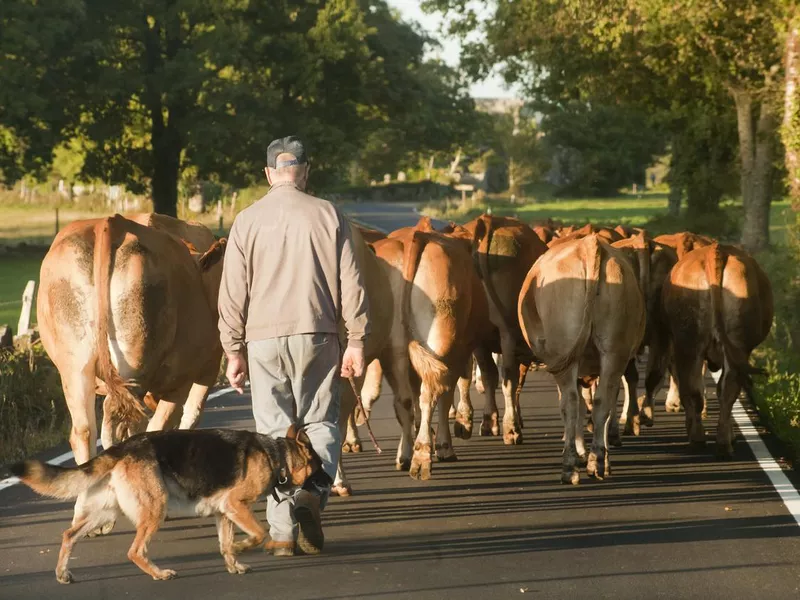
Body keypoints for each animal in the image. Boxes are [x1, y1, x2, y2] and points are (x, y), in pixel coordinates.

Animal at [10, 424, 318, 584]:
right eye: (320, 466)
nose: (326, 481)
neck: (276, 455)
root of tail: (121, 447)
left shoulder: (224, 513)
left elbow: (225, 544)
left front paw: (234, 563)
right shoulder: (235, 505)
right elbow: (259, 533)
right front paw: (241, 548)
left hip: (102, 513)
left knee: (69, 535)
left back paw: (62, 573)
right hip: (156, 509)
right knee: (135, 551)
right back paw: (159, 574)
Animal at [520, 234, 644, 482]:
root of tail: (589, 243)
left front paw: (578, 452)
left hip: (564, 353)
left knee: (570, 403)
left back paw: (569, 467)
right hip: (614, 353)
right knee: (602, 404)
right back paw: (598, 462)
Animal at [660, 241, 772, 458]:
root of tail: (715, 251)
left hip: (691, 344)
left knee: (702, 390)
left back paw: (704, 440)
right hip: (728, 345)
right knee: (724, 388)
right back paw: (719, 442)